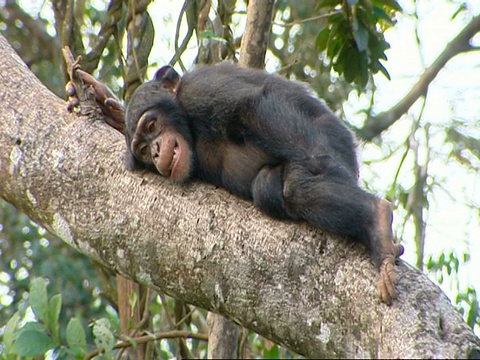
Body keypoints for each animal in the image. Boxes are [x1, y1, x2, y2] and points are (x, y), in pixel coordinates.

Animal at [67, 62, 404, 304]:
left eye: (151, 125)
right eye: (142, 149)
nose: (157, 150)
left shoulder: (203, 91)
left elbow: (252, 107)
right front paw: (103, 103)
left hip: (338, 142)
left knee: (296, 185)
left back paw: (375, 220)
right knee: (266, 188)